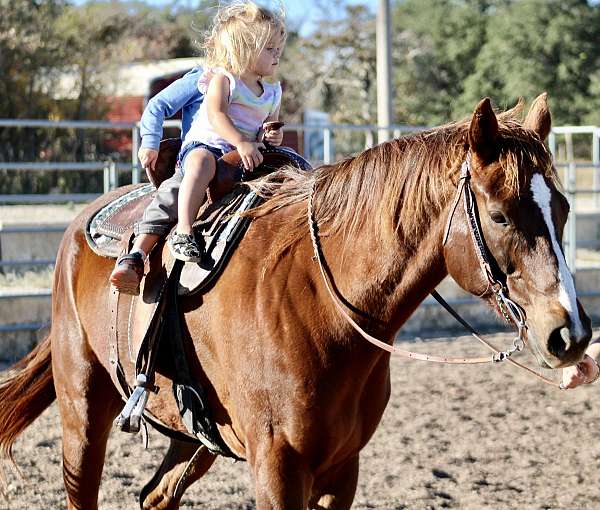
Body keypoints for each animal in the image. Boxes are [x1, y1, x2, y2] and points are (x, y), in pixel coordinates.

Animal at [0, 94, 592, 506]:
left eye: (563, 208)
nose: (572, 333)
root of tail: (79, 226)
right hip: (82, 407)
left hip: (193, 437)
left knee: (155, 496)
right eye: (500, 215)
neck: (322, 305)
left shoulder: (342, 469)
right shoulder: (277, 469)